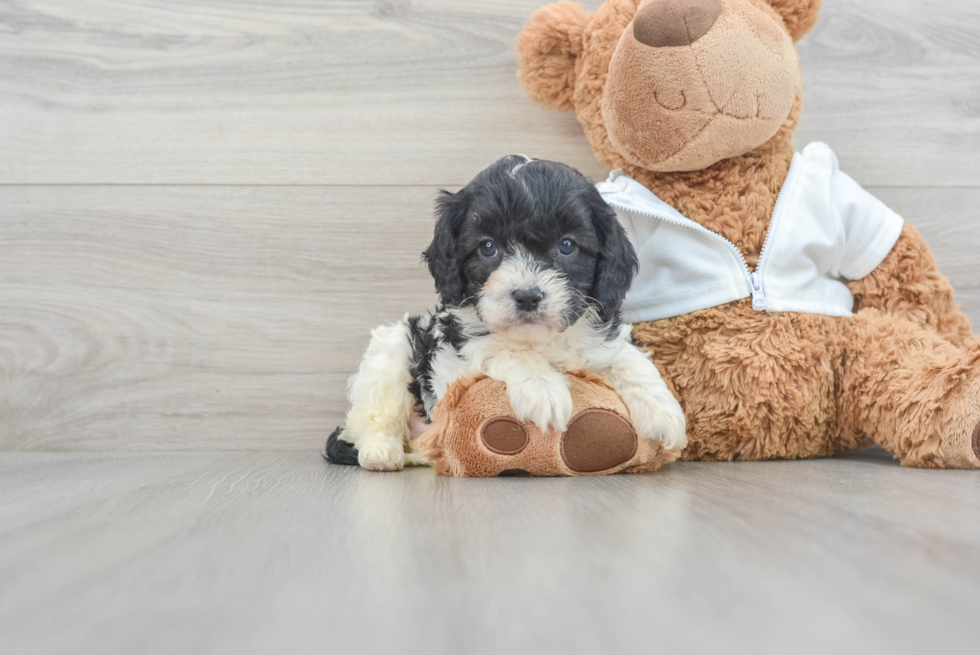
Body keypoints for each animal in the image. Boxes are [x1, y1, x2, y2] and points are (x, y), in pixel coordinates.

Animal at [326, 154, 684, 472]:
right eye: (488, 247)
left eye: (567, 246)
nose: (527, 296)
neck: (539, 339)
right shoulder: (451, 363)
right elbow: (502, 348)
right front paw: (542, 388)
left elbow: (627, 357)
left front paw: (664, 411)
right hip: (393, 350)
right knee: (375, 415)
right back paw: (381, 452)